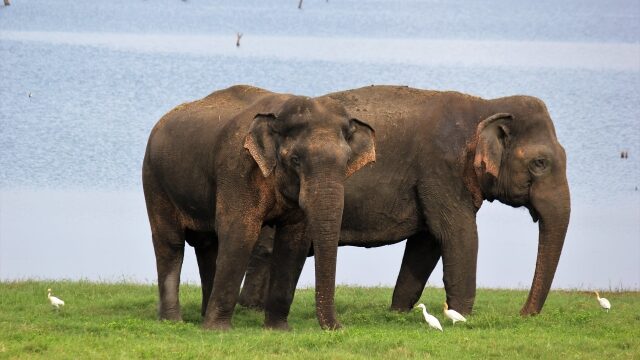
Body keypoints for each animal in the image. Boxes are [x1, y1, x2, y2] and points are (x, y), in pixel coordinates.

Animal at [141, 85, 376, 330]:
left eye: (347, 161)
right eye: (295, 160)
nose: (338, 328)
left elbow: (294, 241)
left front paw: (278, 330)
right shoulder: (237, 168)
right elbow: (240, 233)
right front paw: (218, 330)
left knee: (207, 245)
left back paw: (202, 316)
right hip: (154, 180)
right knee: (171, 243)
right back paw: (173, 322)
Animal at [242, 86, 568, 330]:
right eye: (540, 163)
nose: (524, 313)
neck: (485, 105)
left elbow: (427, 243)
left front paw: (398, 313)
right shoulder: (442, 170)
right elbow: (457, 236)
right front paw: (463, 316)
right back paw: (252, 311)